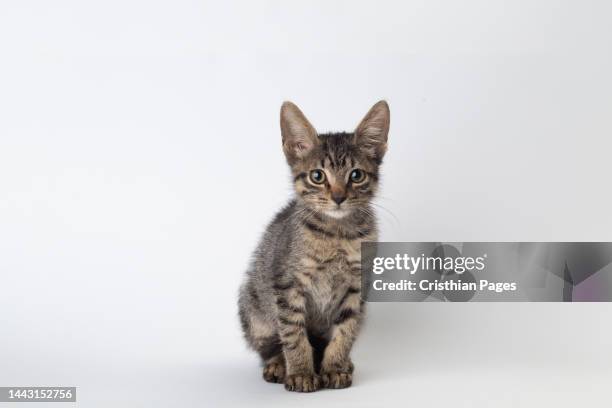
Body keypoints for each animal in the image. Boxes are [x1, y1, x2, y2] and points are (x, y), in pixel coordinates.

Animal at [237, 99, 390, 392]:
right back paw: (278, 364)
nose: (339, 197)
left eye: (356, 175)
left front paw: (335, 367)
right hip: (254, 310)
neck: (337, 235)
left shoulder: (356, 288)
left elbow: (346, 331)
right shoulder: (287, 286)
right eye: (318, 176)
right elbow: (293, 334)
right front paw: (300, 372)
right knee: (269, 346)